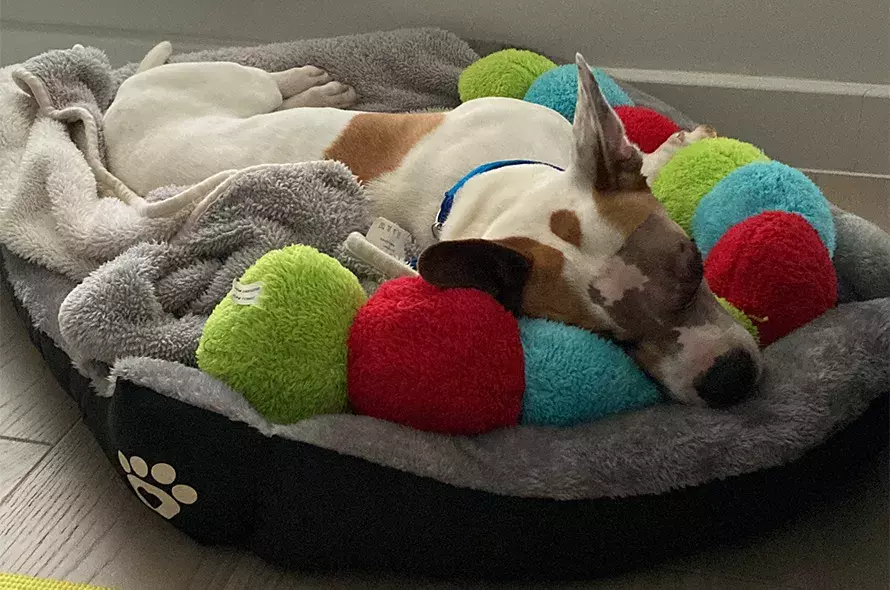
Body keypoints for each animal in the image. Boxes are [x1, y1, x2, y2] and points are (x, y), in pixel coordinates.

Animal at [103, 44, 762, 406]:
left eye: (694, 265)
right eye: (609, 341)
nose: (727, 380)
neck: (500, 178)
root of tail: (116, 103)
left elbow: (640, 160)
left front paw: (674, 146)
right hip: (235, 81)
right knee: (267, 81)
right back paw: (309, 84)